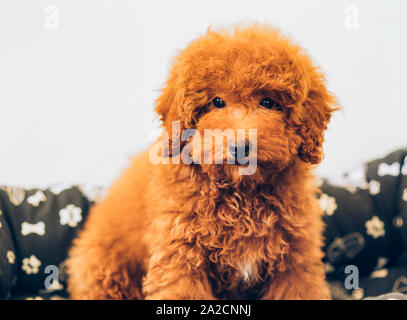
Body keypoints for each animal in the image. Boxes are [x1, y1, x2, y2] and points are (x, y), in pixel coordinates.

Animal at [67, 24, 338, 300]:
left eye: (268, 102)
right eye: (217, 102)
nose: (240, 146)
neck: (242, 195)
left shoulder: (295, 259)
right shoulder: (180, 254)